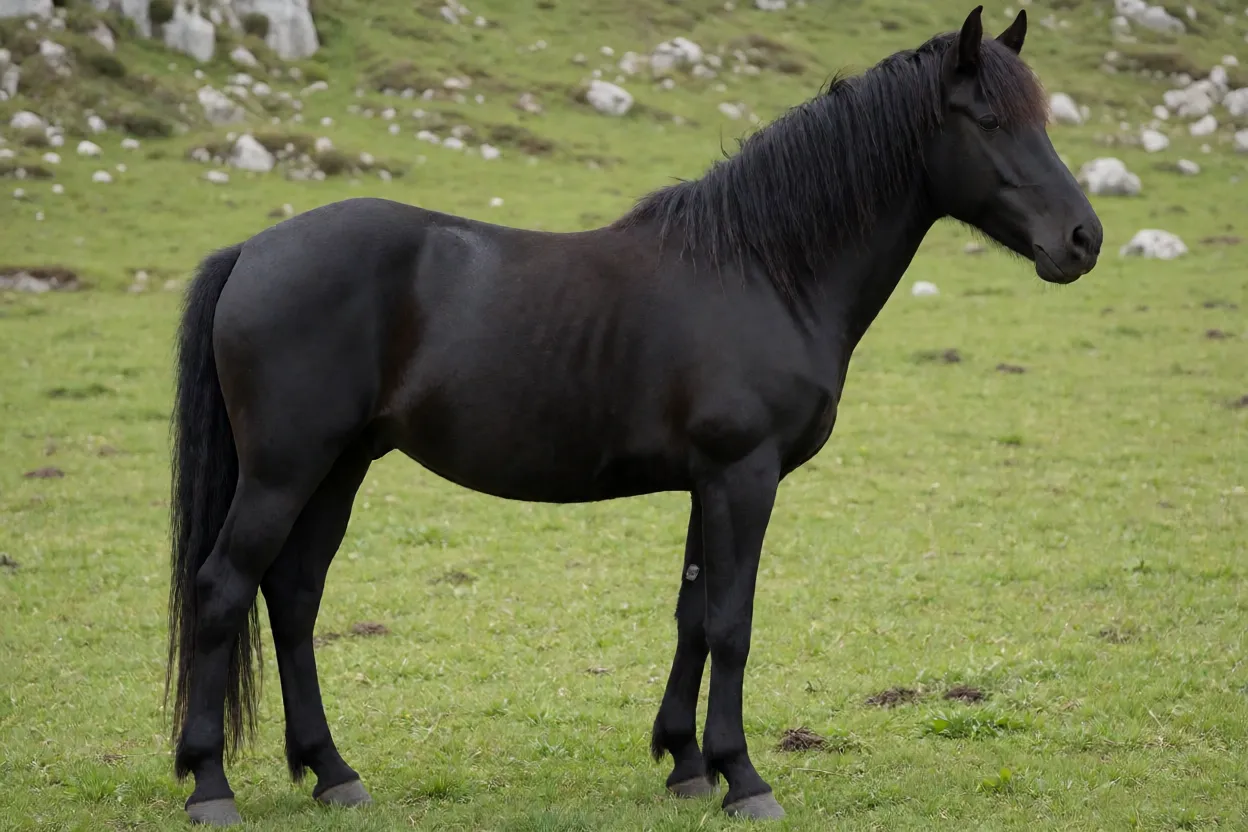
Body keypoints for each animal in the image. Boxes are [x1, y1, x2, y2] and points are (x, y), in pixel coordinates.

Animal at [164, 6, 1101, 824]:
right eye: (989, 119)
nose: (1084, 240)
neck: (763, 270)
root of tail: (251, 251)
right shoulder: (743, 476)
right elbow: (731, 623)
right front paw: (743, 777)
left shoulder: (706, 484)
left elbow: (692, 616)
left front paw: (686, 764)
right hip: (285, 470)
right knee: (224, 589)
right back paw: (211, 785)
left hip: (340, 466)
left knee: (292, 596)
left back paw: (333, 772)